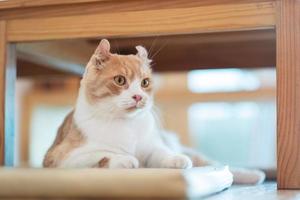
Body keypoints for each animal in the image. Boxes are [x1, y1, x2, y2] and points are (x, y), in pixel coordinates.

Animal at [42, 38, 264, 184]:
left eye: (145, 83)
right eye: (120, 80)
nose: (138, 97)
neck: (126, 124)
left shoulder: (152, 146)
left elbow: (161, 152)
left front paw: (175, 159)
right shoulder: (61, 158)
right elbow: (102, 154)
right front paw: (124, 159)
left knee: (210, 162)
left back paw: (252, 175)